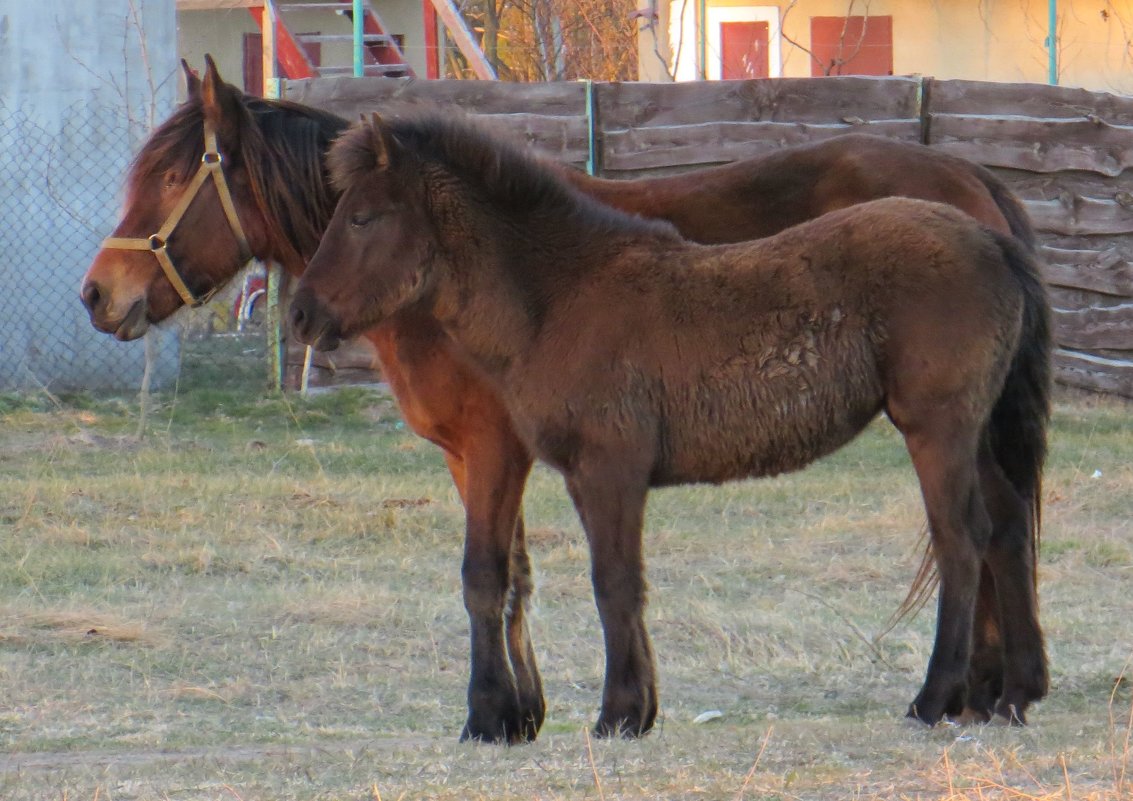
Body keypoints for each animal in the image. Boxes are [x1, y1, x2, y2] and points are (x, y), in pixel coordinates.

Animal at [82, 58, 1042, 747]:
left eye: (173, 177)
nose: (100, 295)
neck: (554, 288)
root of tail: (983, 219)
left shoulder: (555, 458)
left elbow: (550, 577)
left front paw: (541, 714)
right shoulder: (492, 454)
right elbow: (524, 577)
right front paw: (529, 712)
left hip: (935, 425)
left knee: (962, 538)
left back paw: (938, 696)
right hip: (973, 428)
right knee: (1003, 525)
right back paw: (1003, 691)